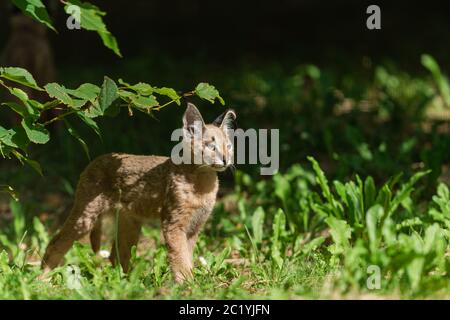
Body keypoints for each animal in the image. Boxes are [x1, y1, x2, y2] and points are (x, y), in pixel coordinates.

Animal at [41, 103, 236, 282]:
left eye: (228, 146)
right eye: (211, 146)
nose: (226, 160)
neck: (203, 180)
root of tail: (98, 158)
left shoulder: (194, 226)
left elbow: (187, 257)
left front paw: (191, 284)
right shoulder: (174, 224)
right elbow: (180, 258)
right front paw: (187, 285)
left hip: (130, 223)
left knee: (116, 255)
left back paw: (126, 283)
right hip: (86, 217)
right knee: (54, 243)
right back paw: (43, 280)